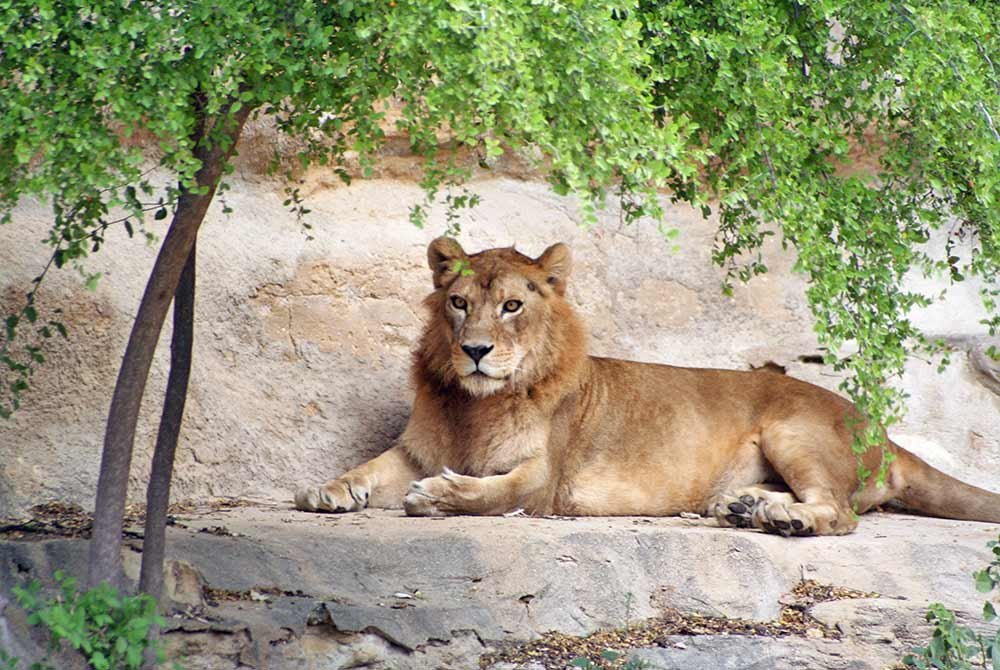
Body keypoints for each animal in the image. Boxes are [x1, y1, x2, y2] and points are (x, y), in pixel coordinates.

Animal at [294, 237, 1000, 536]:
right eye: (460, 303)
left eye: (513, 306)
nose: (474, 351)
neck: (476, 404)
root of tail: (881, 429)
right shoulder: (416, 447)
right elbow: (370, 466)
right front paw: (325, 490)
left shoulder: (544, 481)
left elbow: (489, 495)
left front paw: (439, 495)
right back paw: (746, 506)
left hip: (792, 429)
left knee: (841, 513)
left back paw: (784, 518)